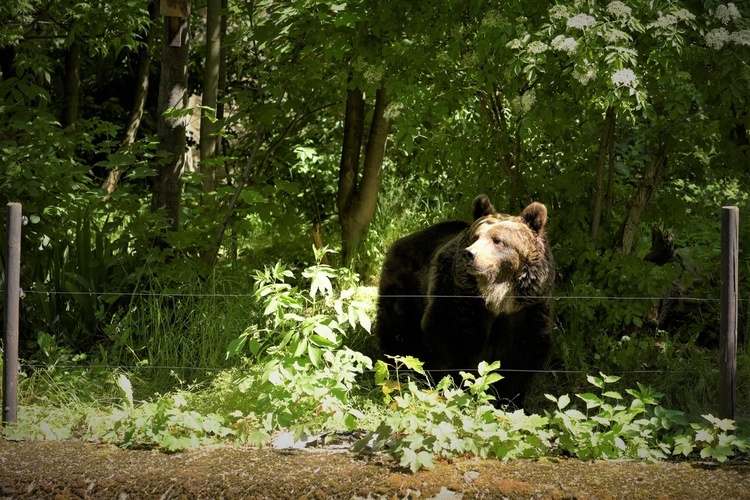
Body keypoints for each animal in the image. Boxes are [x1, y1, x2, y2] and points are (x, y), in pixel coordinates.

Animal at [376, 193, 560, 404]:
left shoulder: (527, 306)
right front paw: (457, 387)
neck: (498, 295)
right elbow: (454, 338)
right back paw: (398, 367)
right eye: (476, 236)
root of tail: (409, 236)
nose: (470, 254)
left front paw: (508, 399)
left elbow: (520, 350)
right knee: (398, 326)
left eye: (497, 239)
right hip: (406, 285)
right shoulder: (461, 296)